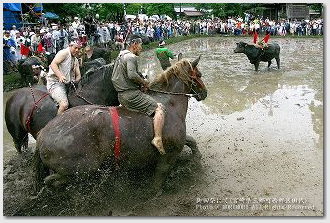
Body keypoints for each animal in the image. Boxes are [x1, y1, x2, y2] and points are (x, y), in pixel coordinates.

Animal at [34, 55, 208, 192]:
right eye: (199, 74)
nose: (205, 93)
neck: (168, 103)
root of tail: (42, 134)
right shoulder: (169, 155)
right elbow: (160, 176)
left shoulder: (177, 141)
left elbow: (191, 141)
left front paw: (197, 157)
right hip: (83, 168)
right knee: (54, 179)